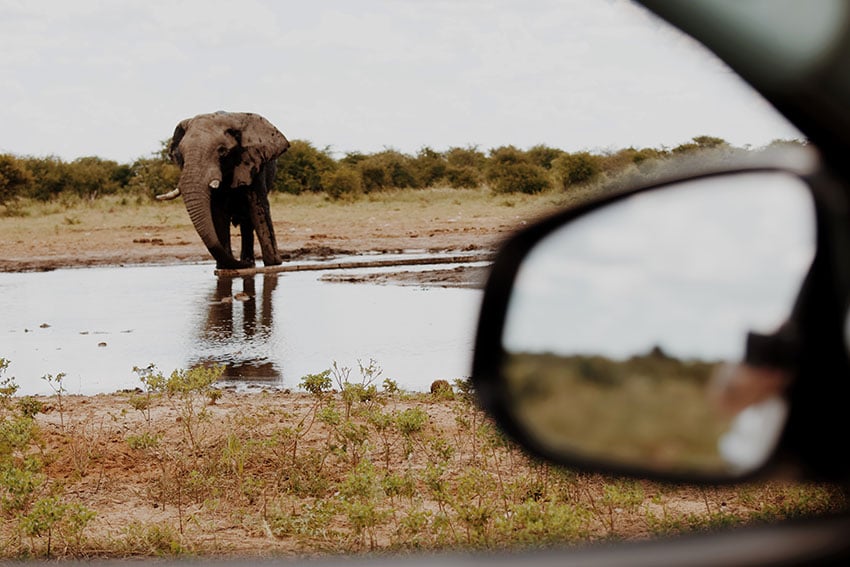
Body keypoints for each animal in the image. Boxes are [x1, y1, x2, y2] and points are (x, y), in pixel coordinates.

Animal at [157, 112, 290, 270]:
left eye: (222, 151)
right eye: (181, 154)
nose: (241, 264)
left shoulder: (254, 164)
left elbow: (258, 208)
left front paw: (273, 264)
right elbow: (219, 213)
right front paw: (224, 267)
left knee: (247, 220)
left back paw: (250, 262)